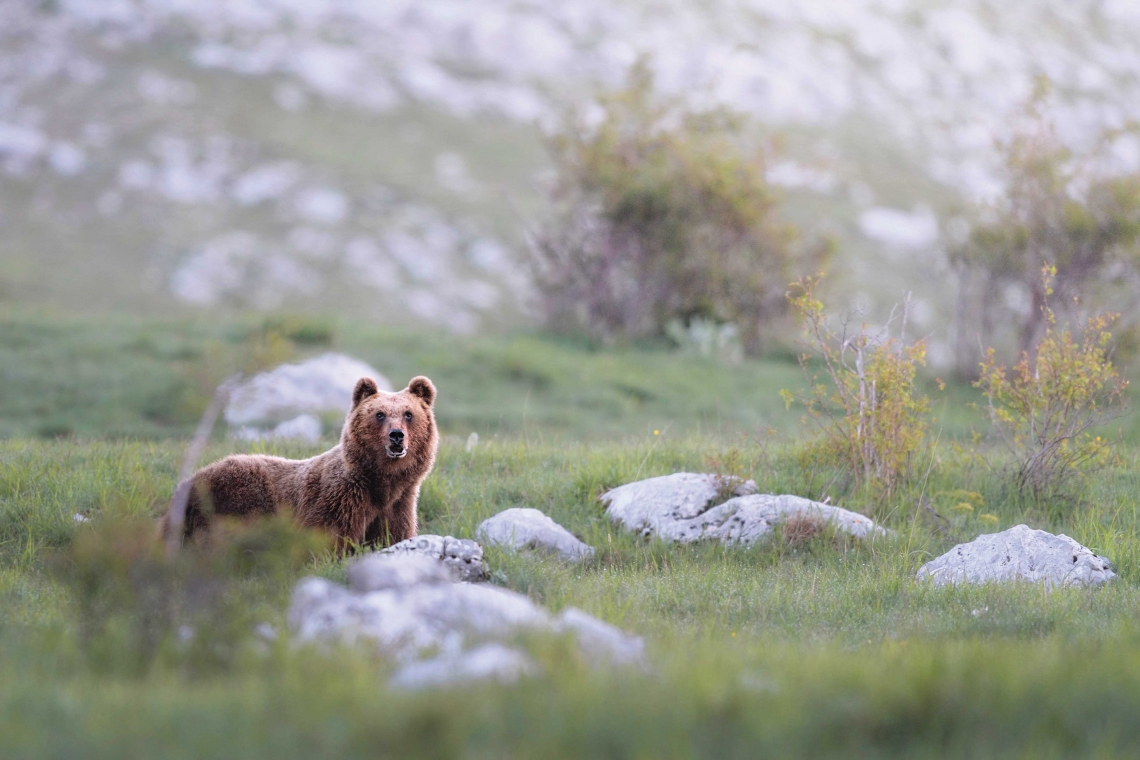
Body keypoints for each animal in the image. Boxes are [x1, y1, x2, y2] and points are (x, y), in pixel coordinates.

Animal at [163, 376, 437, 549]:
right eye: (379, 414)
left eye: (408, 414)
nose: (396, 435)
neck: (381, 483)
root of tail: (188, 482)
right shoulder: (340, 501)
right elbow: (327, 539)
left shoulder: (397, 506)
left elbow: (392, 536)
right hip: (233, 492)